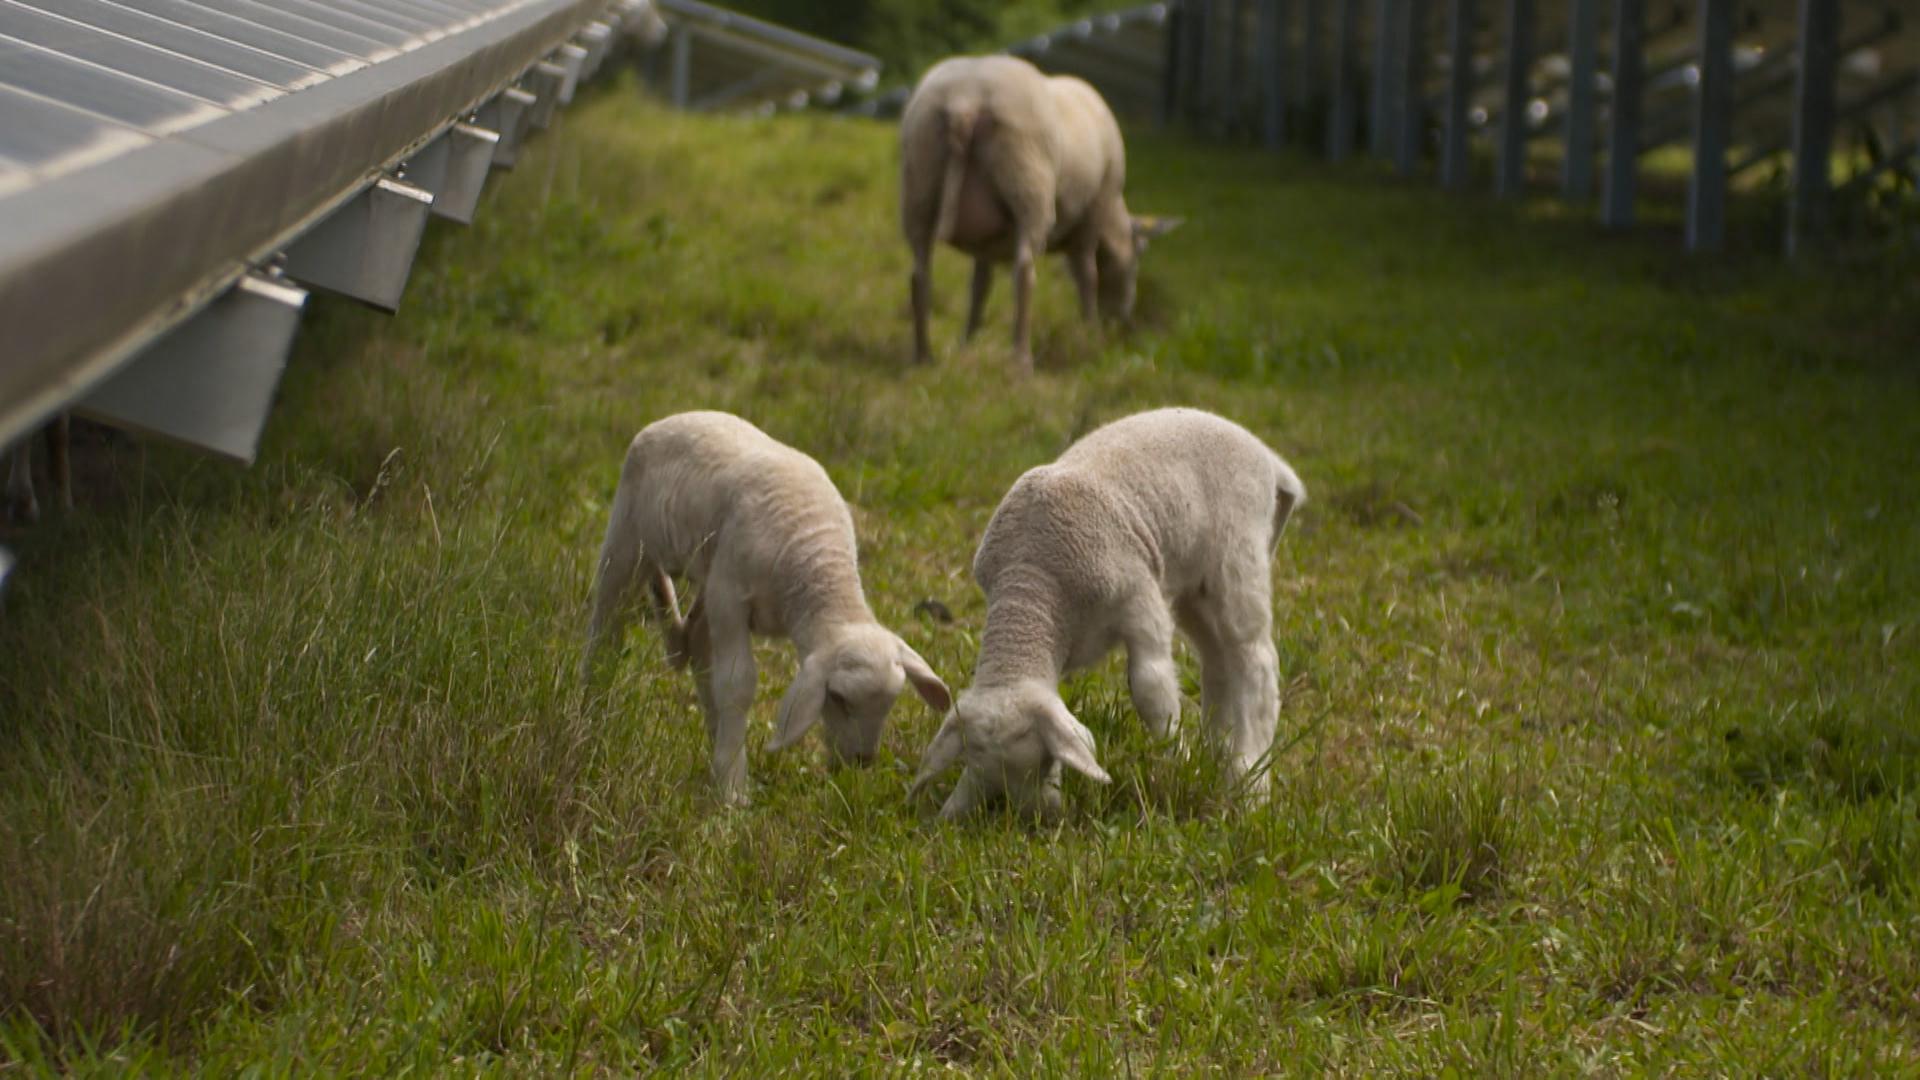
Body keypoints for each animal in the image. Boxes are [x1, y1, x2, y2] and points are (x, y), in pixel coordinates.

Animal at [583, 411, 951, 806]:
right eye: (837, 698)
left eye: (891, 702)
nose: (861, 761)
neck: (814, 561)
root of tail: (673, 417)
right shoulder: (729, 598)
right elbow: (737, 683)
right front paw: (733, 791)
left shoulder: (722, 591)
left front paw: (728, 767)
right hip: (625, 541)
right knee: (605, 626)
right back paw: (591, 709)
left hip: (705, 571)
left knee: (696, 642)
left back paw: (716, 738)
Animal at [899, 55, 1178, 374]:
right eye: (1140, 254)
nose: (1120, 321)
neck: (1113, 223)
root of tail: (964, 101)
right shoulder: (1093, 215)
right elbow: (1087, 275)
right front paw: (1090, 333)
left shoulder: (986, 241)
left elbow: (979, 285)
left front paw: (968, 341)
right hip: (1029, 188)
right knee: (1023, 274)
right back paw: (1021, 359)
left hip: (919, 184)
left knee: (919, 275)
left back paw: (923, 356)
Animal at [909, 407, 1305, 821]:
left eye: (1046, 763)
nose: (1043, 819)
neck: (1033, 585)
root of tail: (1268, 460)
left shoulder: (1140, 596)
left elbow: (1150, 686)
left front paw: (1178, 759)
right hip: (1194, 586)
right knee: (1218, 660)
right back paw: (1220, 759)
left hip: (1238, 556)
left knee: (1254, 659)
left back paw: (1250, 783)